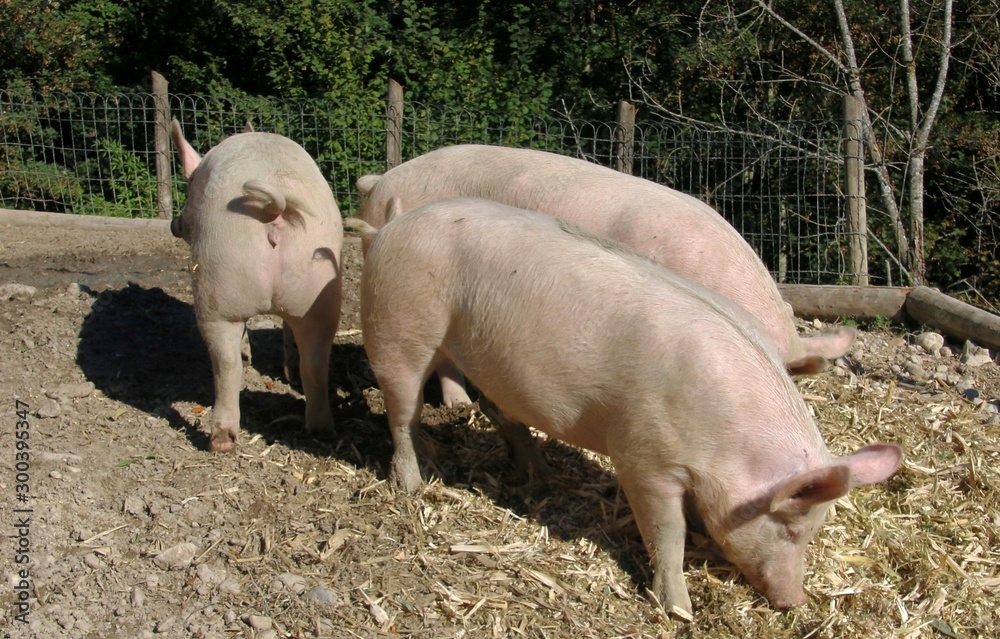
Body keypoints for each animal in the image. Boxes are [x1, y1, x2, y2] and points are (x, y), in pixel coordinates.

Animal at [170, 120, 343, 452]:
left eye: (187, 192)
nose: (174, 224)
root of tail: (273, 210)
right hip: (318, 295)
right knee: (315, 363)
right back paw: (320, 430)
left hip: (220, 283)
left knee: (226, 365)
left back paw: (221, 442)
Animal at [360, 197, 902, 616]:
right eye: (793, 528)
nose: (795, 602)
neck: (729, 442)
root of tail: (390, 225)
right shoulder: (645, 458)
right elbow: (667, 533)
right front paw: (679, 609)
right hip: (400, 327)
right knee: (402, 412)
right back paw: (412, 485)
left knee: (499, 412)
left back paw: (543, 474)